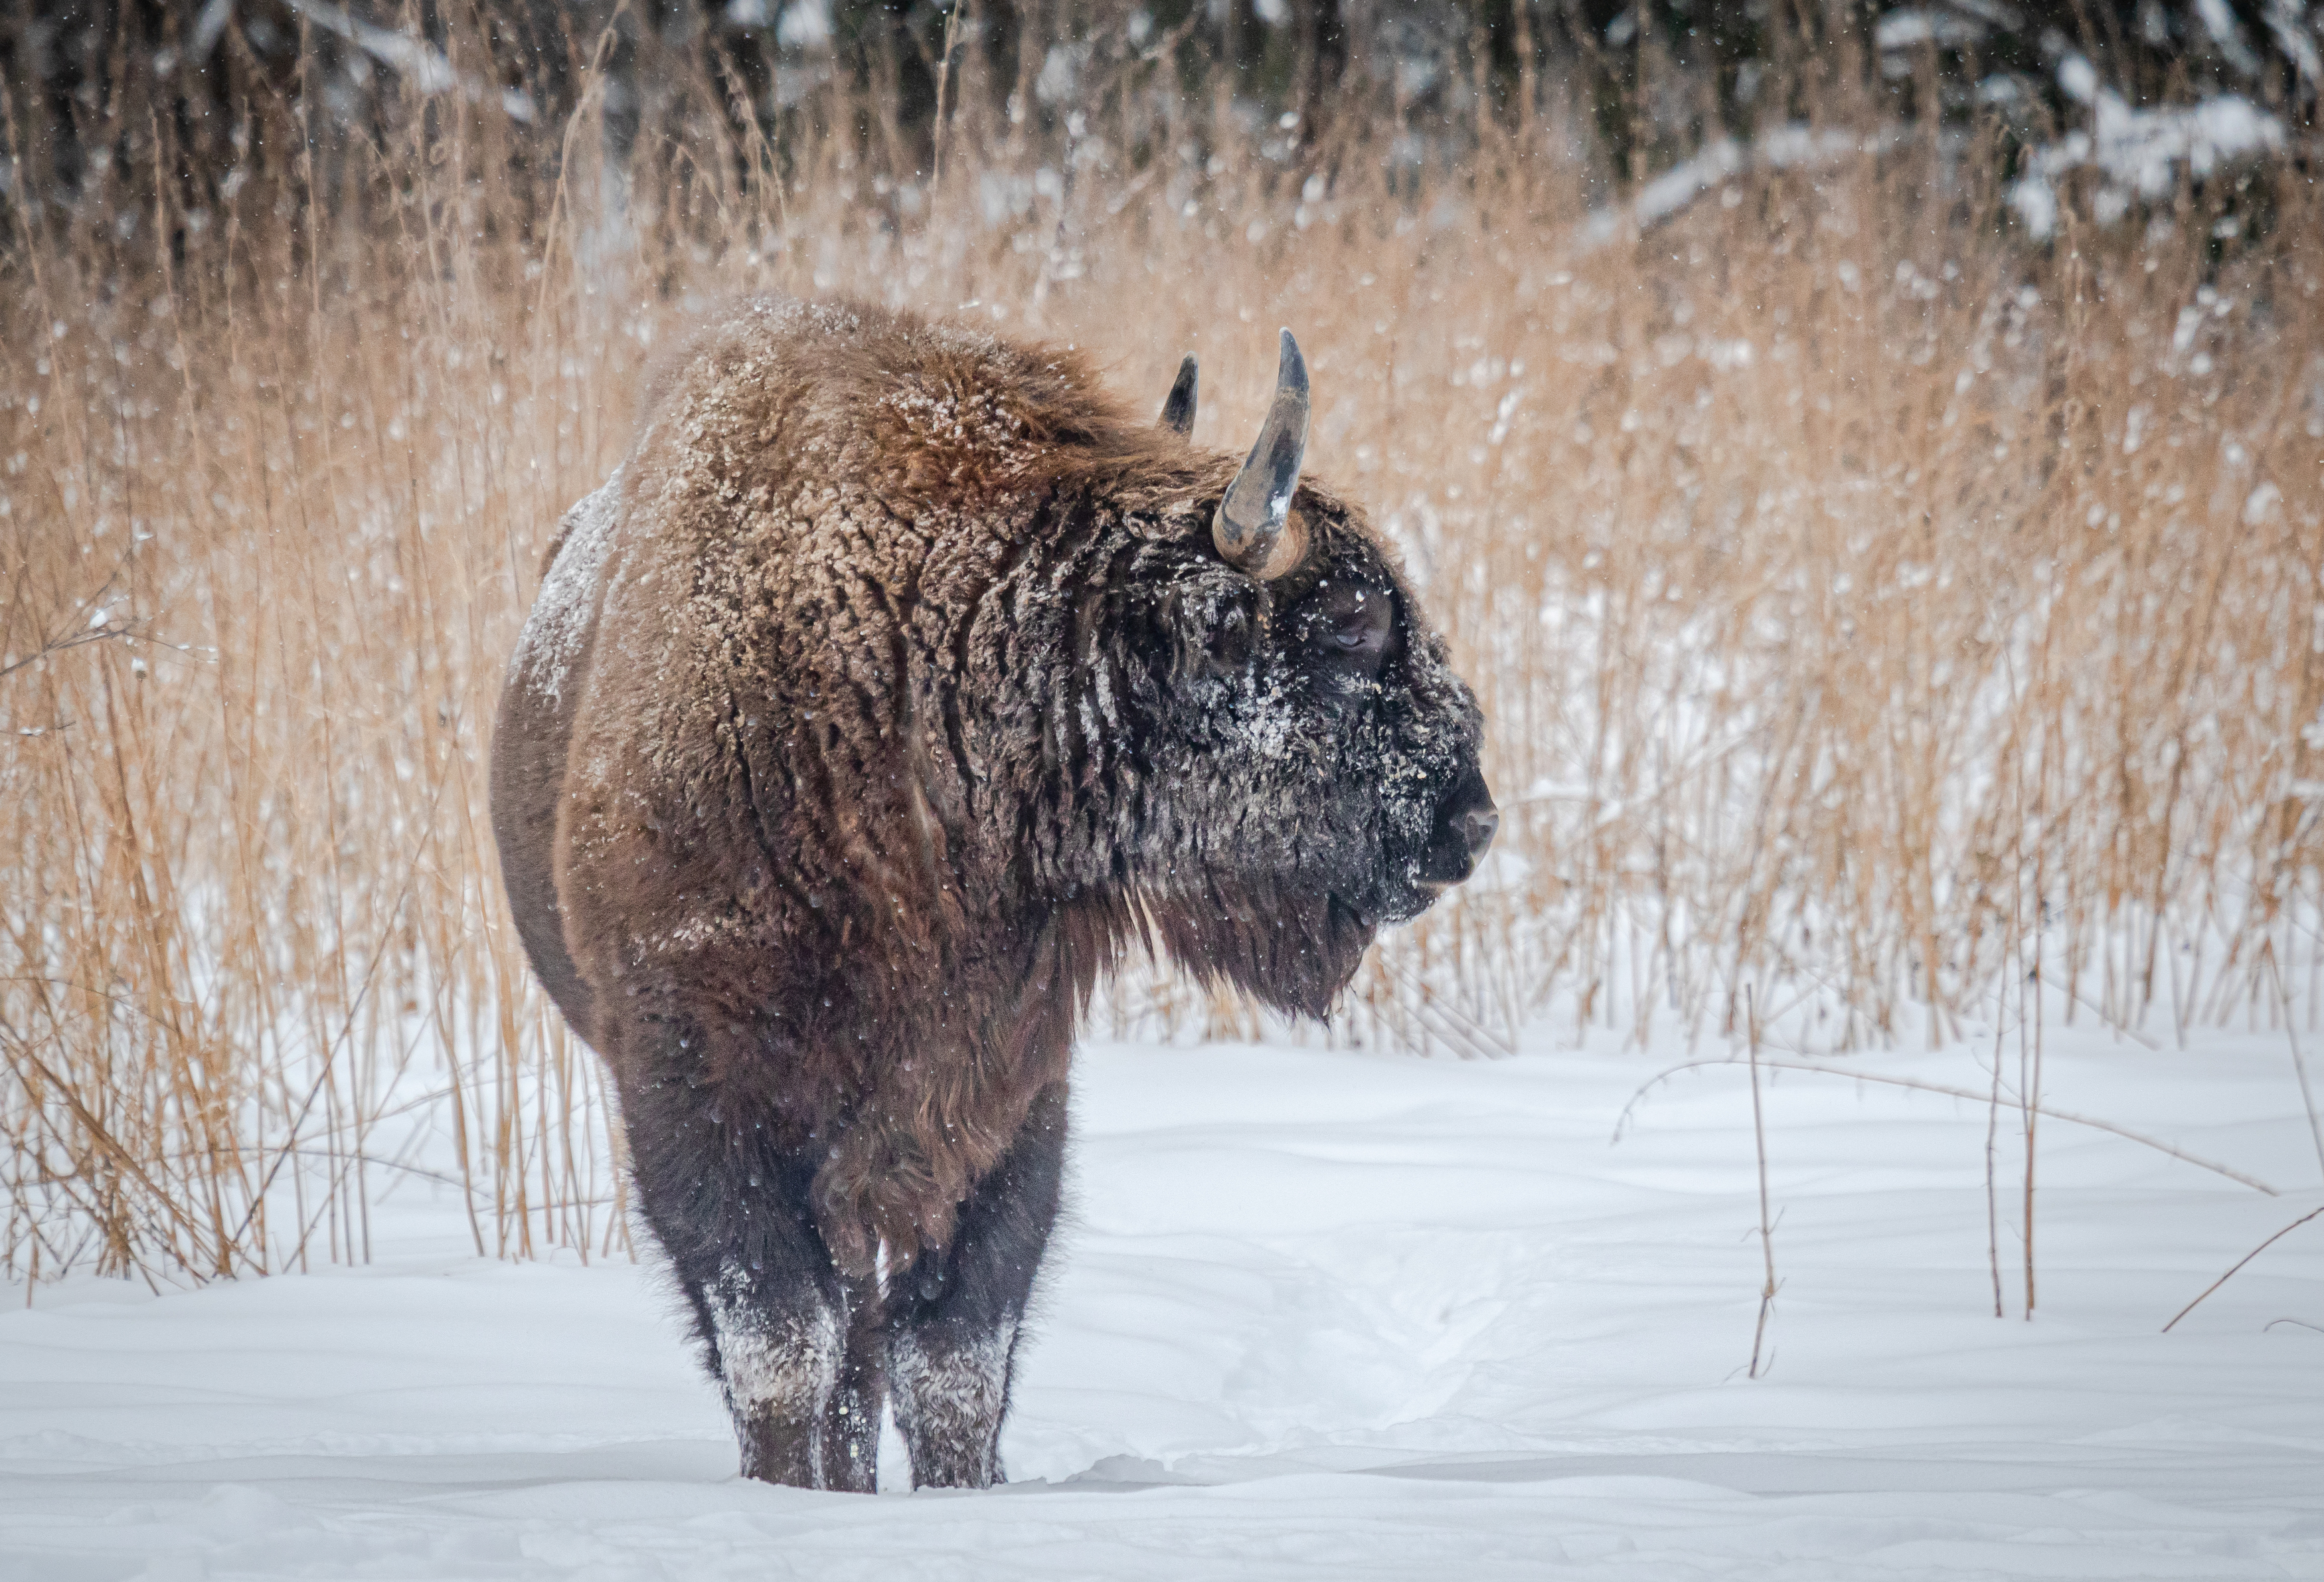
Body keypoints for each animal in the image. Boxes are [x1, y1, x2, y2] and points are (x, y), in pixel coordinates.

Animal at [497, 300, 1497, 1496]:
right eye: (1351, 619)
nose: (1472, 819)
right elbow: (780, 1342)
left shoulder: (1008, 1093)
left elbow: (956, 1355)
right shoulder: (694, 1085)